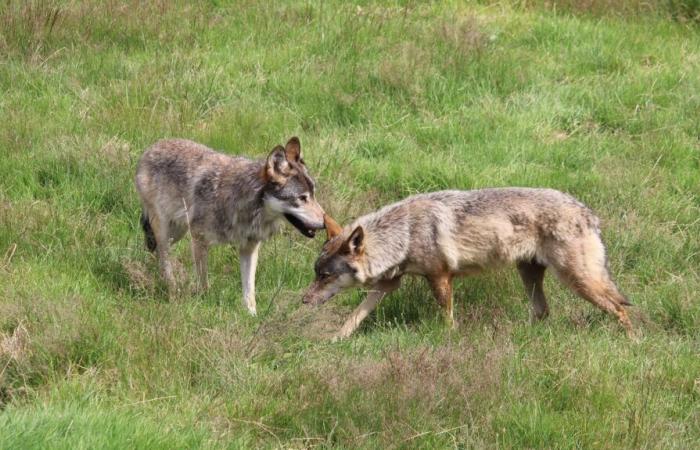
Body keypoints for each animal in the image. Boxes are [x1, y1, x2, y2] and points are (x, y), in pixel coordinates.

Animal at [135, 135, 326, 314]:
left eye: (313, 194)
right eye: (302, 198)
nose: (326, 223)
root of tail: (152, 147)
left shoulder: (249, 249)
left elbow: (249, 290)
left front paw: (252, 316)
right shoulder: (199, 240)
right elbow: (203, 281)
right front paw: (205, 303)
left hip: (177, 232)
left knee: (154, 251)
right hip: (165, 231)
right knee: (163, 257)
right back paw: (171, 290)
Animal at [300, 188, 636, 340]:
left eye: (325, 276)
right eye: (316, 274)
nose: (303, 300)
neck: (405, 234)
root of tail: (588, 214)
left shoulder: (440, 278)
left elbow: (446, 316)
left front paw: (450, 337)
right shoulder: (388, 284)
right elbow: (355, 316)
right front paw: (336, 340)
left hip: (577, 281)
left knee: (621, 310)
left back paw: (633, 342)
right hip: (529, 275)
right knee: (542, 311)